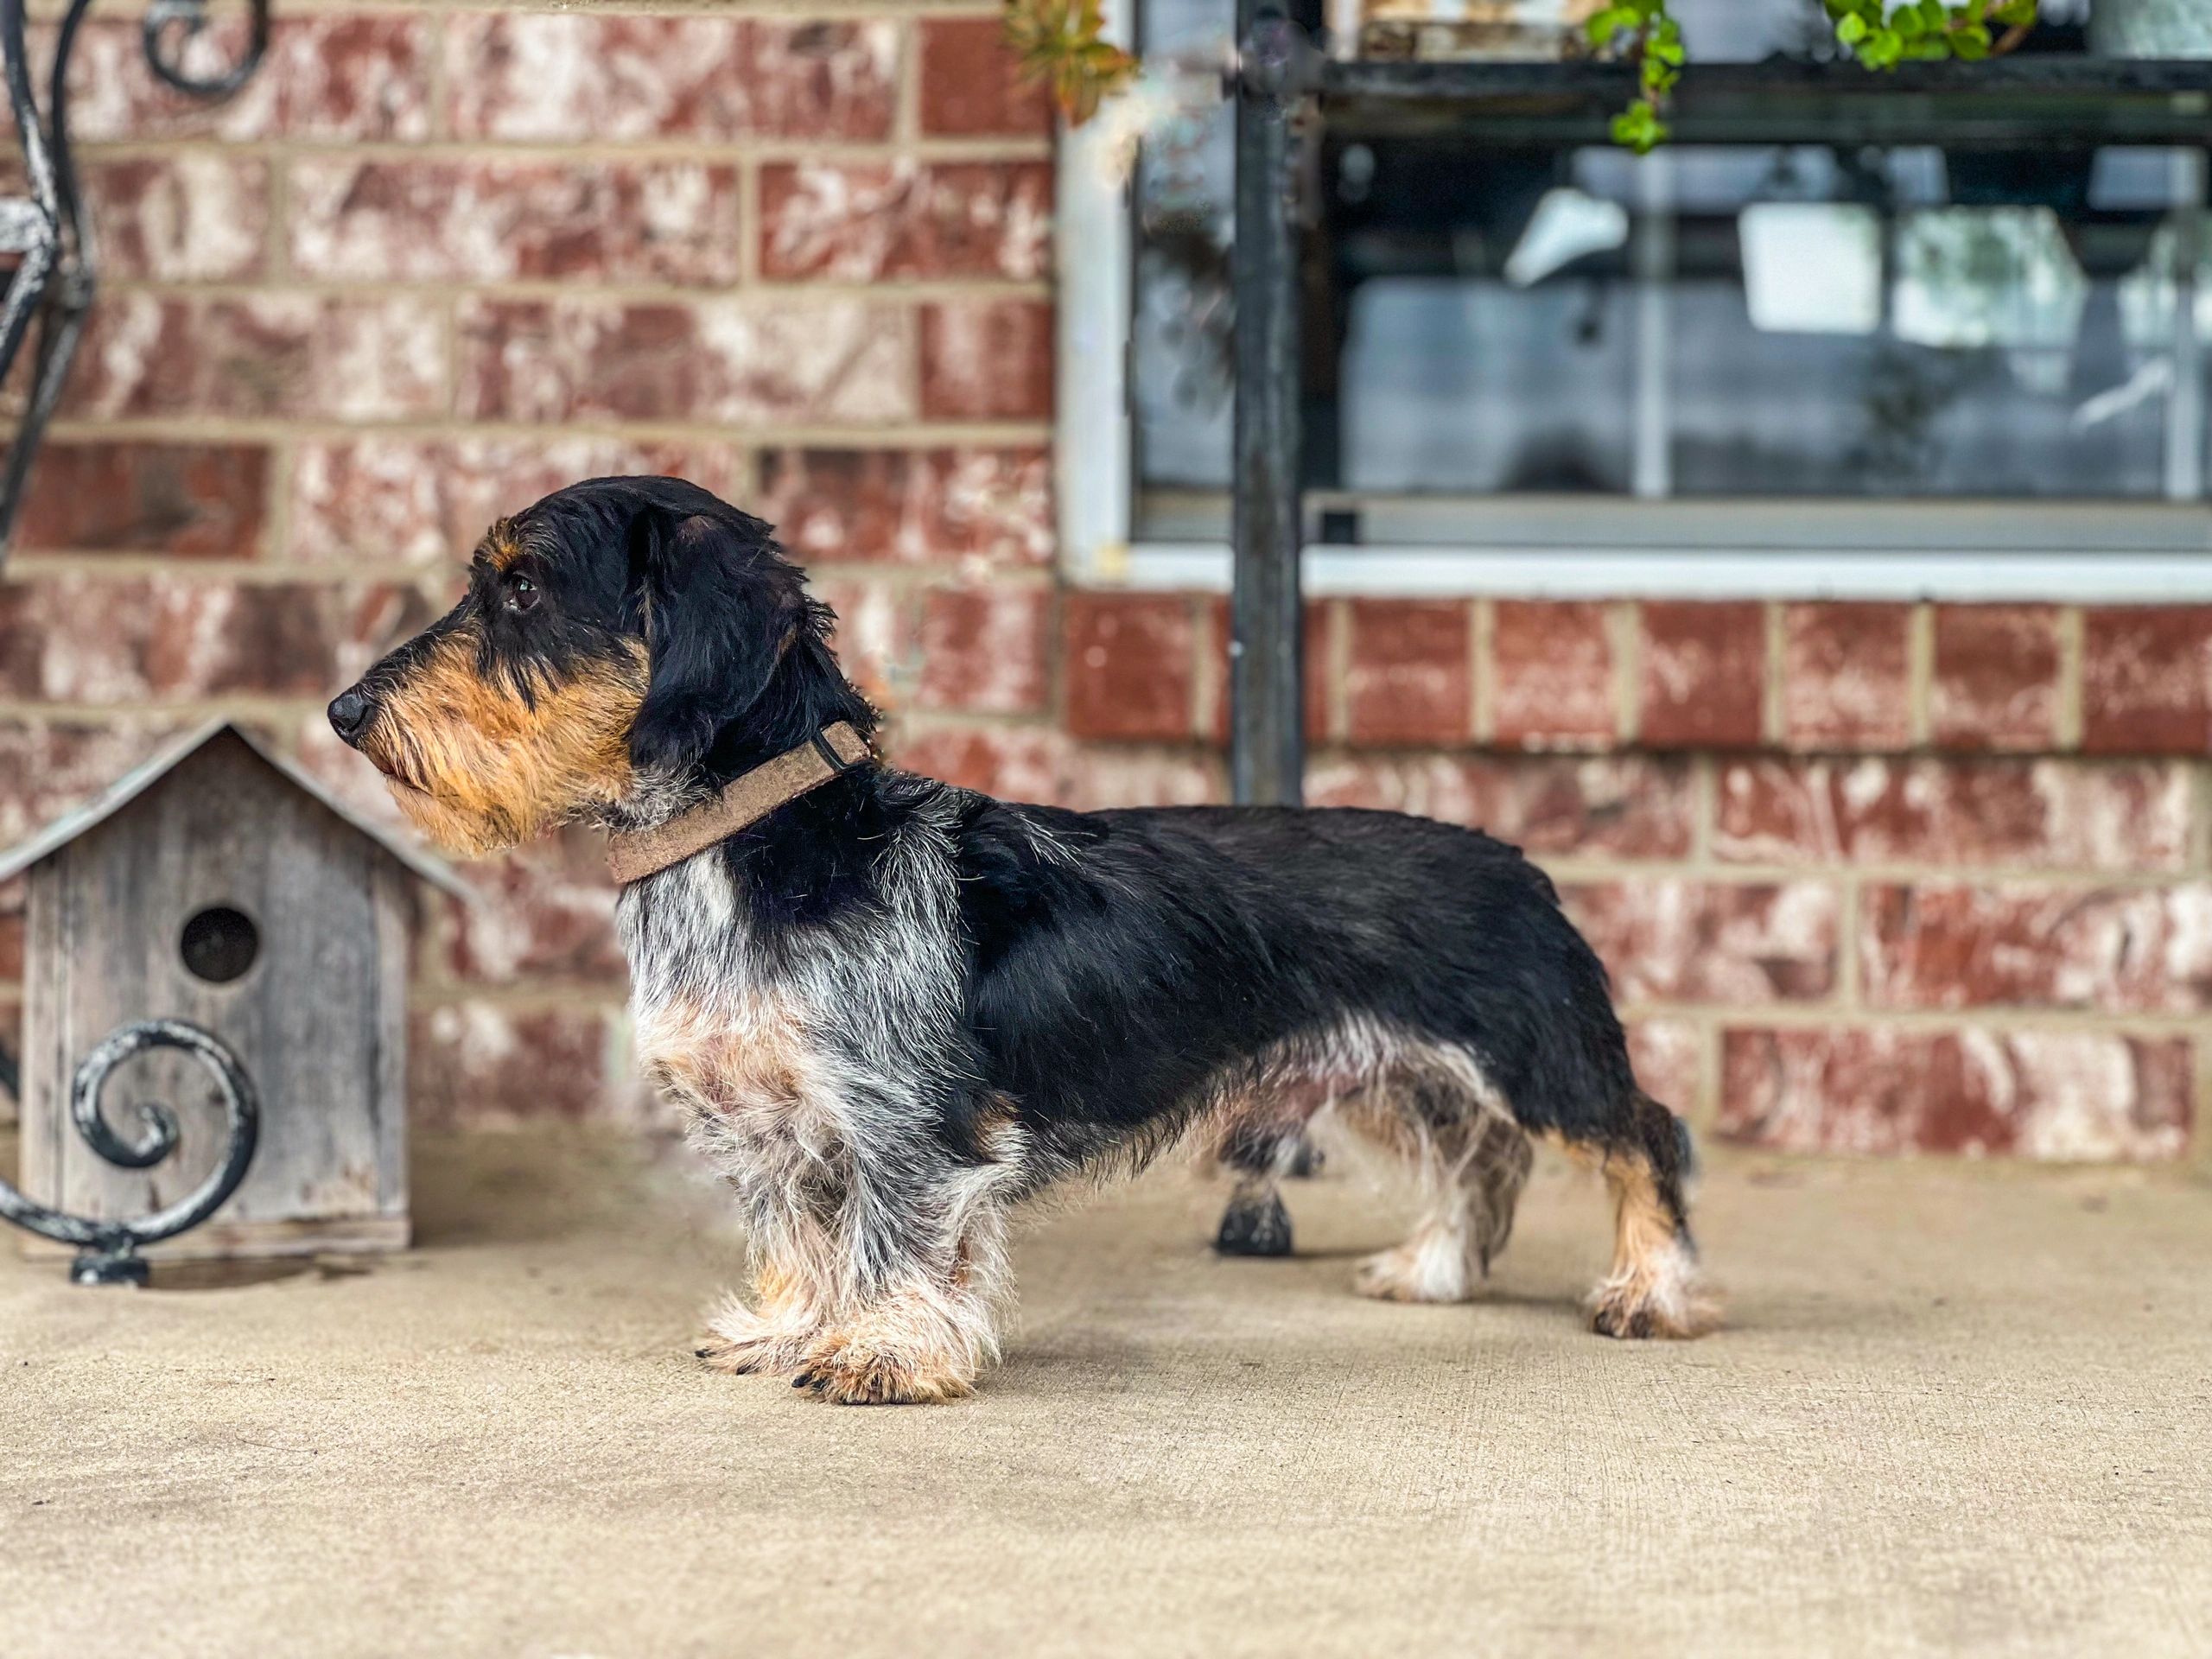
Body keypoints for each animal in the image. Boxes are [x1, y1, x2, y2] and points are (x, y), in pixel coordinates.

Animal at [327, 477, 1716, 1407]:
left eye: (521, 588)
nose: (342, 712)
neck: (753, 851)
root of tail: (1517, 861)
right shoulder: (770, 1128)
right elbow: (798, 1237)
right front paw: (789, 1329)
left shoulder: (909, 1123)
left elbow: (895, 1235)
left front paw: (882, 1351)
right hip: (1393, 1073)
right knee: (1478, 1164)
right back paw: (1432, 1269)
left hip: (1527, 1055)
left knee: (1643, 1138)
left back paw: (1651, 1293)